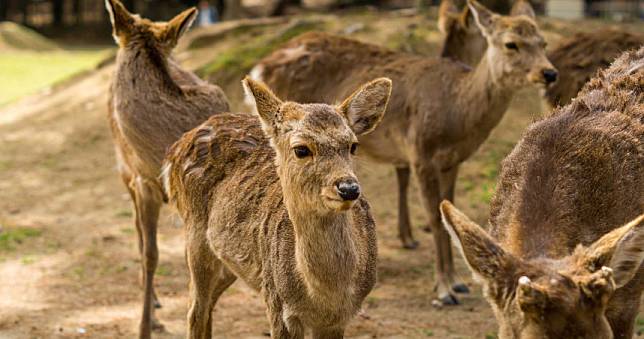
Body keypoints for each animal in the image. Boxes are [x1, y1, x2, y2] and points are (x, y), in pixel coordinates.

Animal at [162, 77, 392, 339]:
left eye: (353, 145)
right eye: (301, 149)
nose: (349, 188)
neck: (325, 297)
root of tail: (177, 147)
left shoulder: (339, 319)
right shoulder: (278, 304)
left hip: (230, 260)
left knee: (205, 302)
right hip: (195, 234)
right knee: (195, 310)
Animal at [252, 0, 560, 306]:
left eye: (543, 42)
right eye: (511, 44)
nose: (549, 73)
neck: (459, 114)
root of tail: (260, 67)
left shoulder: (453, 161)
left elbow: (448, 210)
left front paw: (457, 282)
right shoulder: (421, 153)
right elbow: (434, 218)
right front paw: (444, 290)